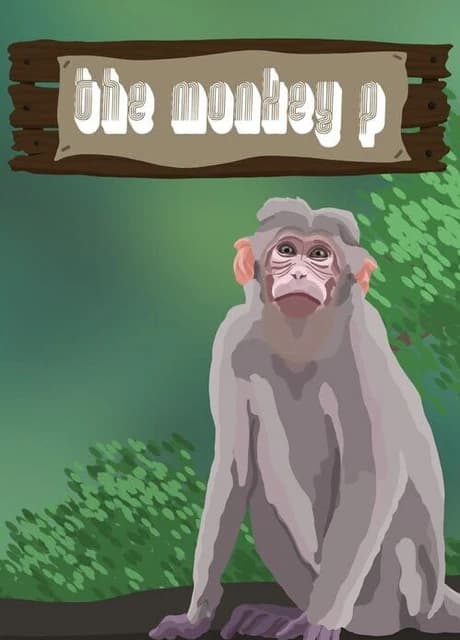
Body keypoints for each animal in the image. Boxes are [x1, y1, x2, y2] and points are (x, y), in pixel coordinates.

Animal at [149, 198, 460, 640]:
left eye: (318, 255)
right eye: (286, 250)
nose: (298, 274)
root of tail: (434, 605)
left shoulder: (362, 347)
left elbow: (371, 477)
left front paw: (319, 622)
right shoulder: (231, 339)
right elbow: (234, 471)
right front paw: (195, 617)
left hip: (397, 588)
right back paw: (285, 615)